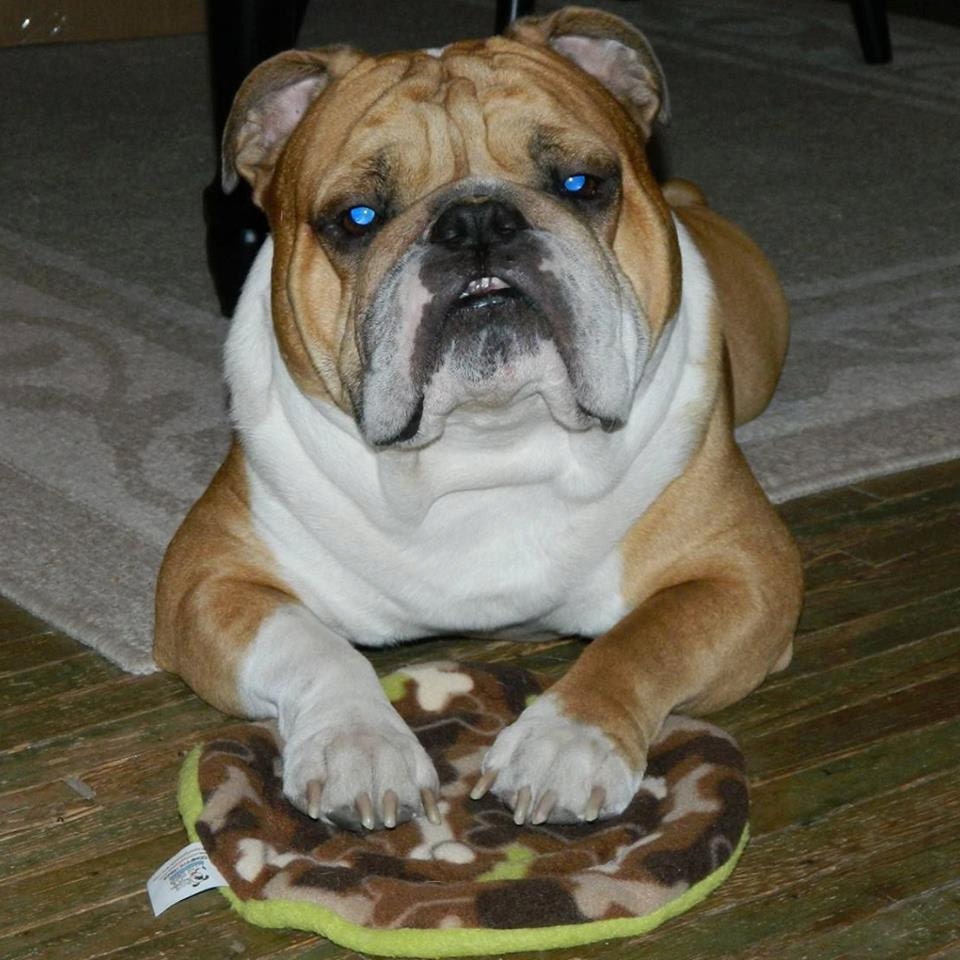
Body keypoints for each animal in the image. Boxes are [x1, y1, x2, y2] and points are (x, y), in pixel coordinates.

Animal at [156, 5, 804, 832]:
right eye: (356, 218)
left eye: (581, 183)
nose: (476, 222)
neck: (490, 443)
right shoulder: (205, 578)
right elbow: (308, 641)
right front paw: (358, 742)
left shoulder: (748, 571)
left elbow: (646, 638)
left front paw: (568, 740)